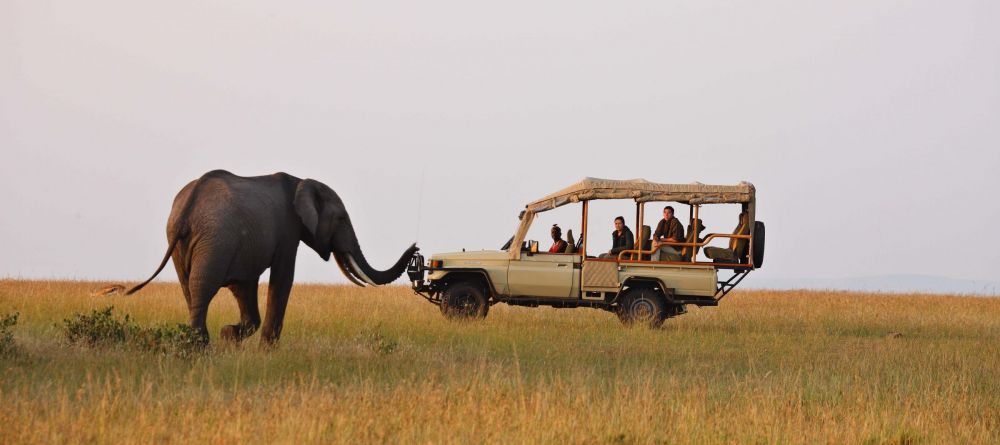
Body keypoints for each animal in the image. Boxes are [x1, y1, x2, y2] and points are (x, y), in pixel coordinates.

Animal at [126, 170, 418, 345]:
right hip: (215, 240)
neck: (302, 181)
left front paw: (229, 335)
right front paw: (264, 349)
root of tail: (186, 209)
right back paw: (201, 349)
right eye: (341, 219)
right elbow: (282, 279)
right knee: (201, 289)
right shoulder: (288, 231)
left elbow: (243, 286)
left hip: (186, 242)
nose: (415, 248)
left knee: (189, 289)